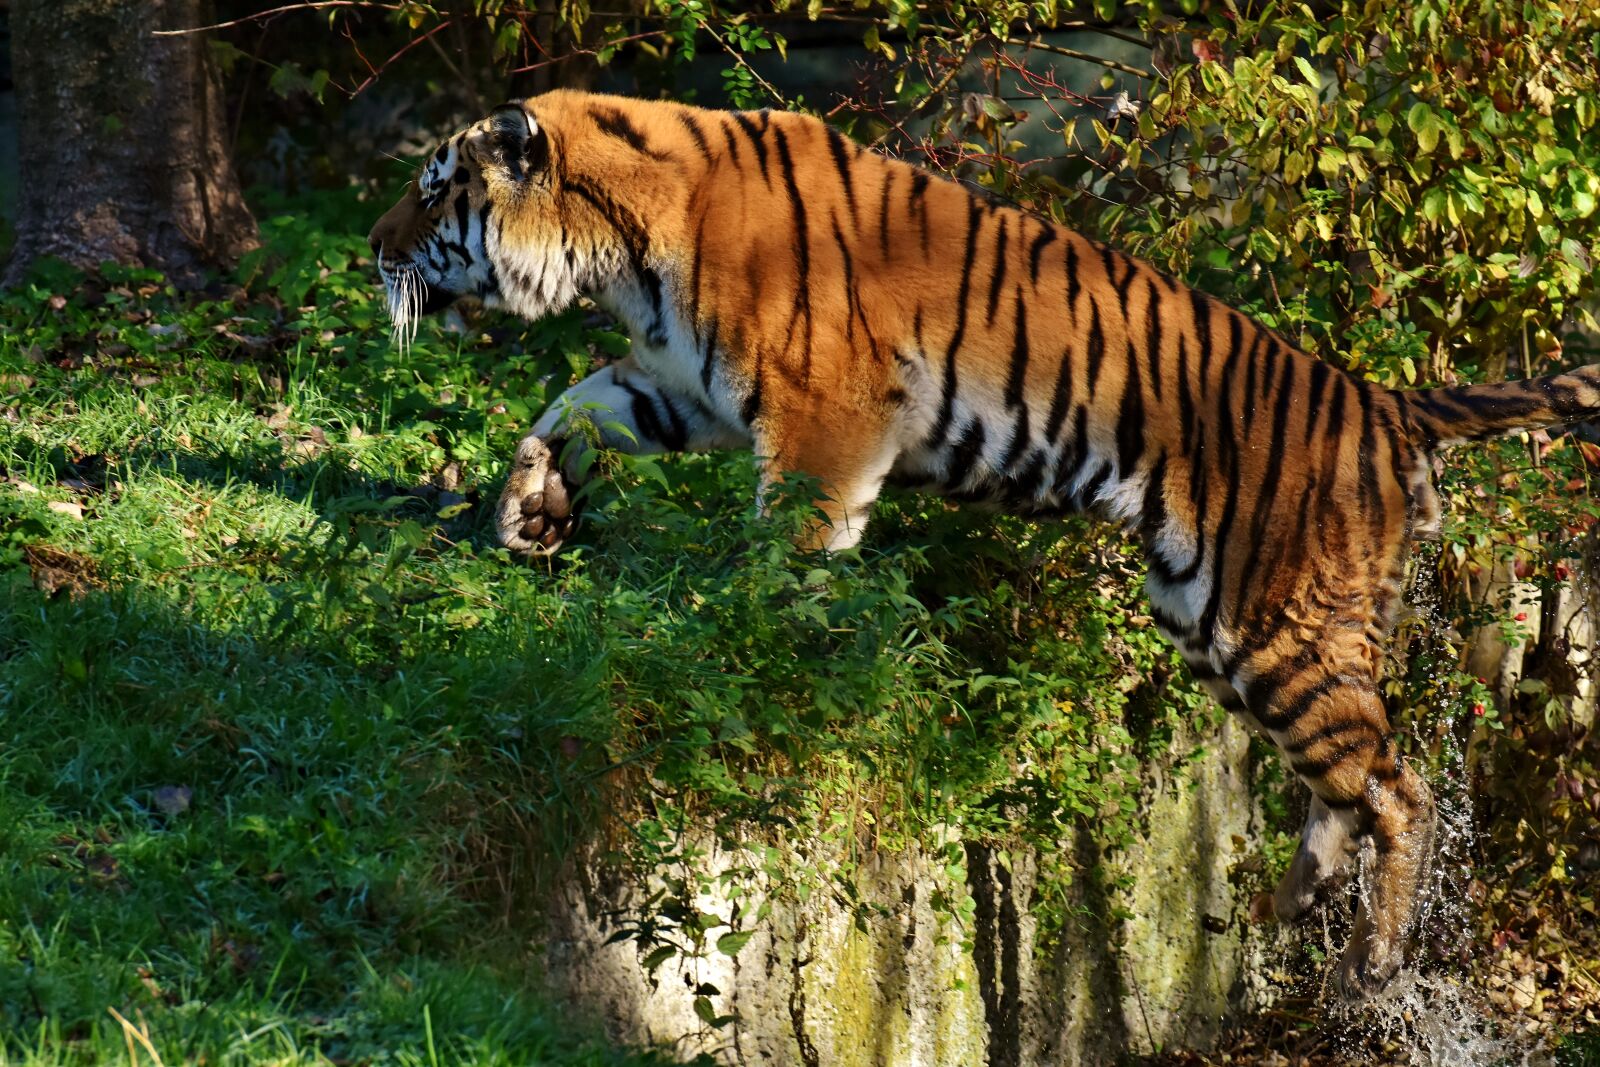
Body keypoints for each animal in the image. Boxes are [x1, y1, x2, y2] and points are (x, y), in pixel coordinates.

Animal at [367, 90, 1600, 999]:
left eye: (432, 192)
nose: (369, 249)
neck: (616, 247)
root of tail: (1386, 401)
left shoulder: (824, 413)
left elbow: (785, 549)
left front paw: (748, 650)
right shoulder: (676, 383)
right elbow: (567, 407)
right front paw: (528, 513)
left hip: (1272, 623)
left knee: (1397, 789)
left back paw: (1372, 963)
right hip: (1215, 623)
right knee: (1344, 780)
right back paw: (1287, 907)